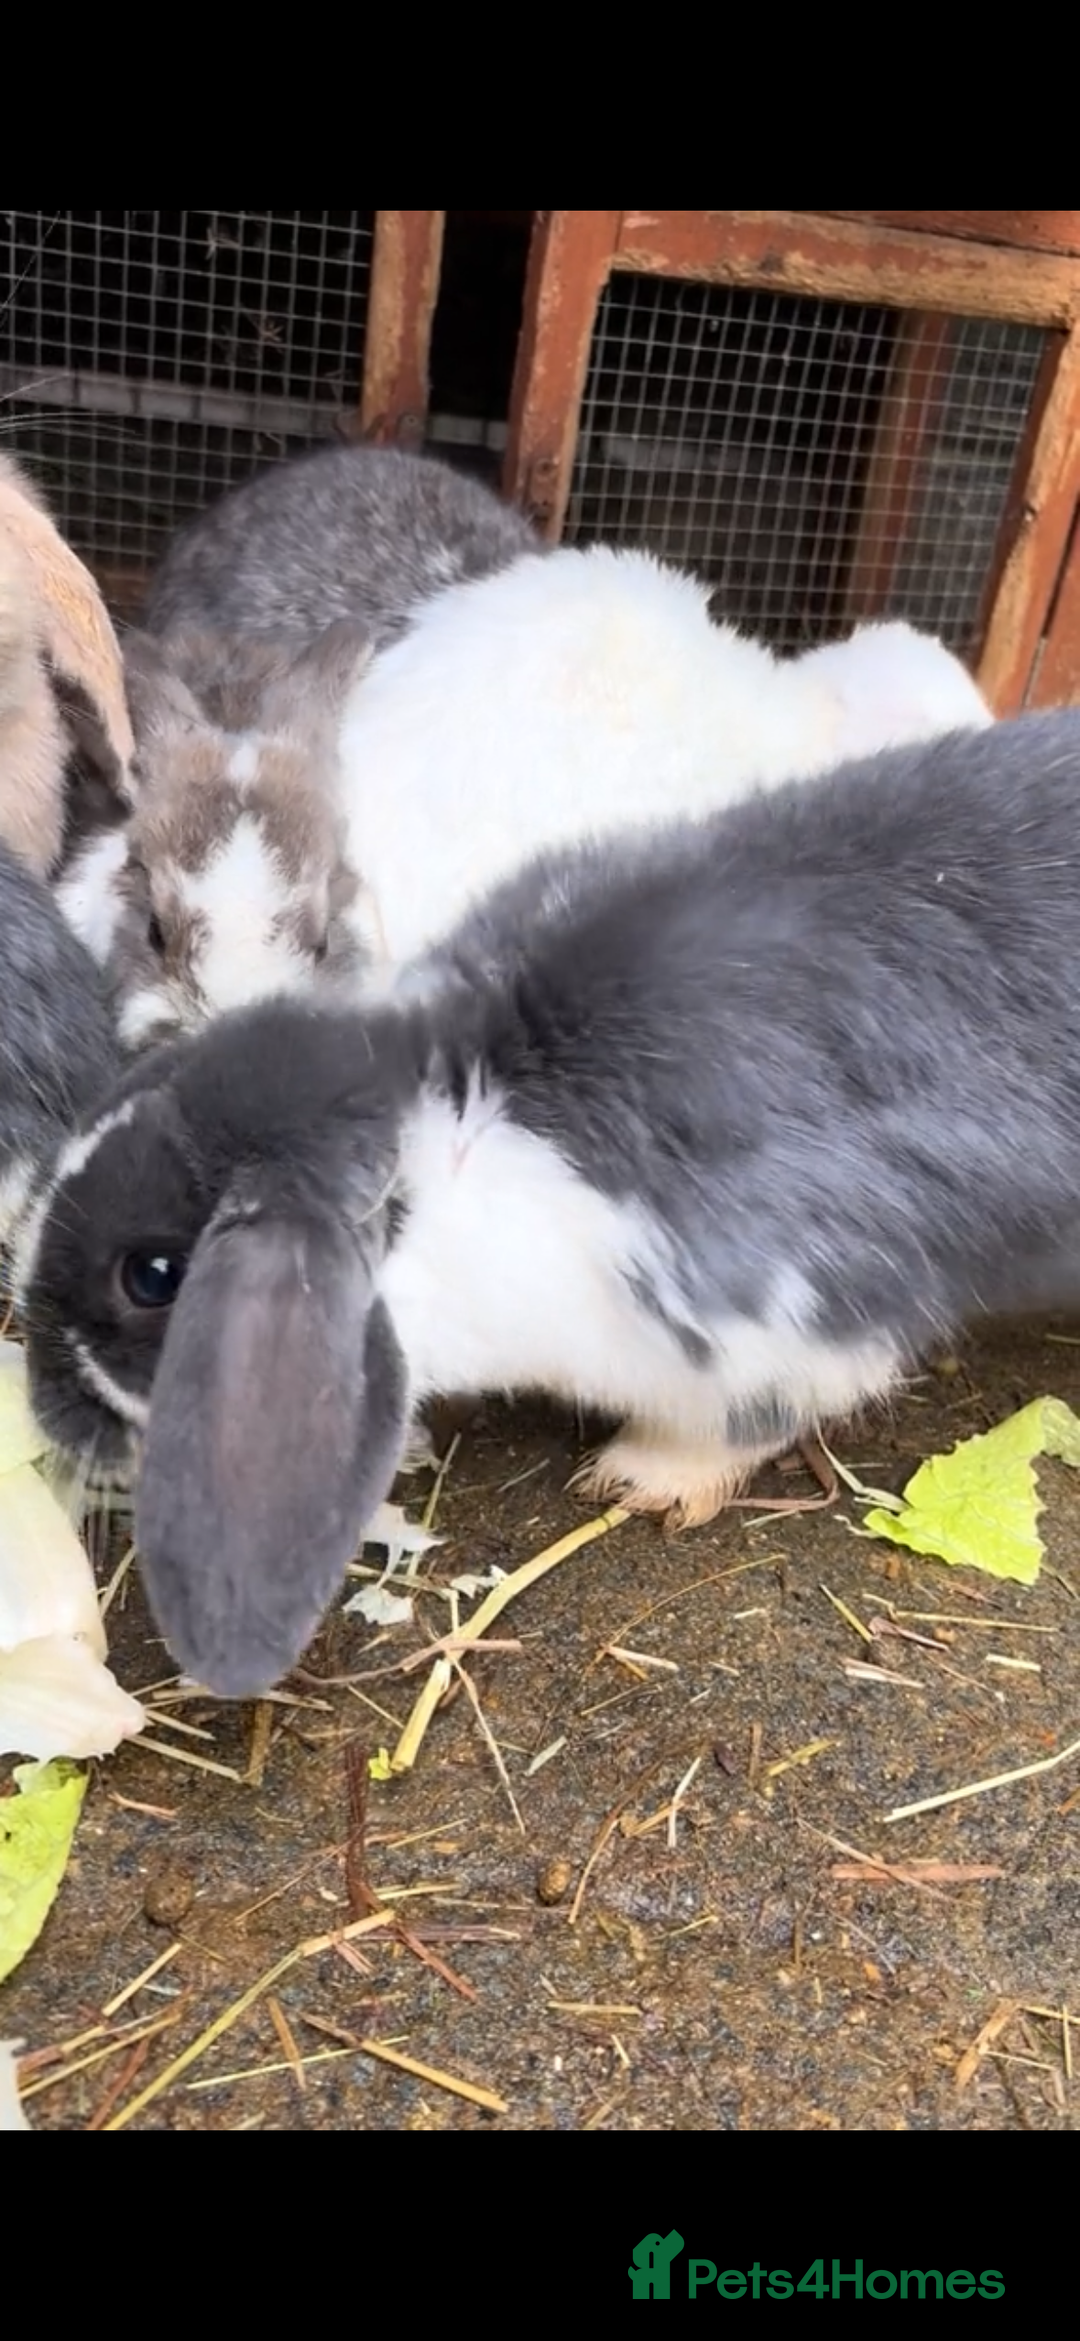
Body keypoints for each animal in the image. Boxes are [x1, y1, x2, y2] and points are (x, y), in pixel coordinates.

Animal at [20, 707, 1080, 1699]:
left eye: (153, 1275)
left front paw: (643, 1478)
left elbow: (764, 1411)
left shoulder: (783, 1312)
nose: (46, 1412)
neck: (463, 1114)